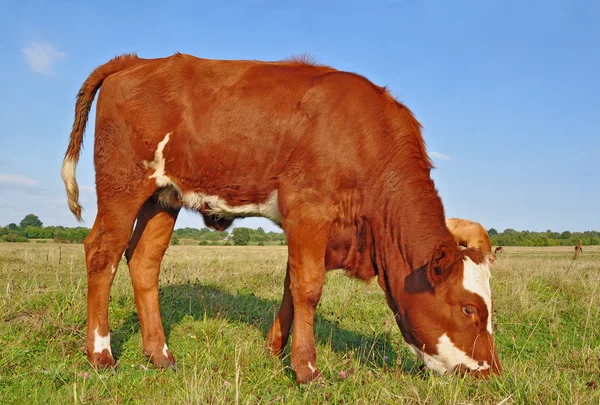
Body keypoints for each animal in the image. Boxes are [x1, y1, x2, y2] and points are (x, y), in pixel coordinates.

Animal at [62, 52, 502, 382]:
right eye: (469, 309)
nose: (492, 372)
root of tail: (135, 61)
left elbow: (292, 285)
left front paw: (276, 351)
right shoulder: (309, 210)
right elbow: (308, 286)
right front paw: (306, 369)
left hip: (163, 197)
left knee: (143, 261)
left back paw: (160, 355)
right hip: (123, 186)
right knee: (102, 253)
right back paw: (100, 355)